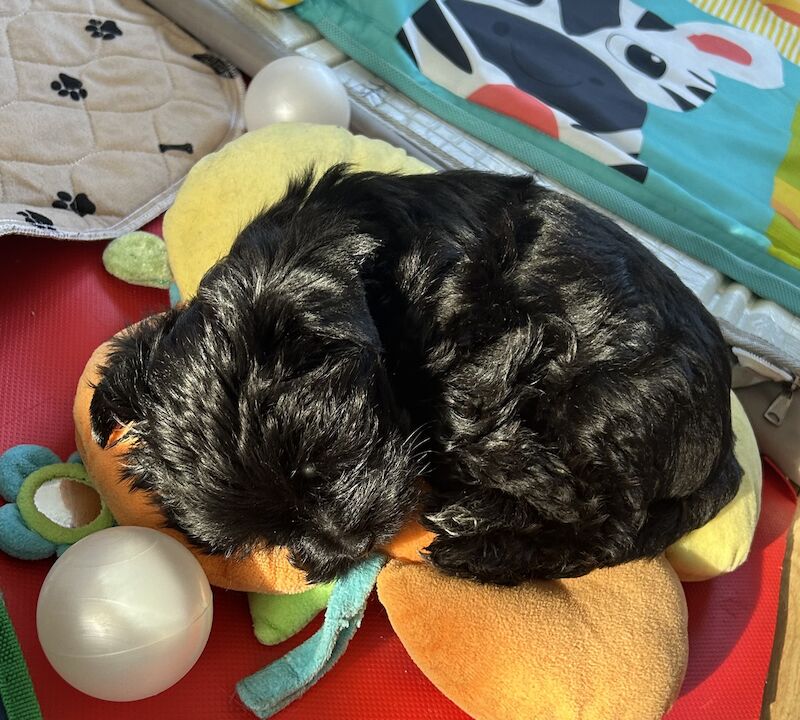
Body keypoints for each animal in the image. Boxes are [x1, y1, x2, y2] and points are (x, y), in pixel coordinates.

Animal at [90, 167, 740, 584]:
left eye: (320, 459)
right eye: (272, 534)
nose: (343, 545)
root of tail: (726, 450)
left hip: (600, 406)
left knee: (608, 526)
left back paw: (482, 545)